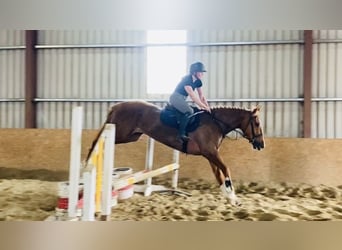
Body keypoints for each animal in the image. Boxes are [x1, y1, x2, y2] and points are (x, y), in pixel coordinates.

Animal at [85, 100, 264, 206]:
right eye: (256, 123)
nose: (261, 144)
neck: (216, 123)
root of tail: (116, 106)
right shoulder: (211, 152)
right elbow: (226, 169)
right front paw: (233, 196)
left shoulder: (210, 154)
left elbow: (219, 175)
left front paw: (230, 198)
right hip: (120, 133)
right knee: (97, 140)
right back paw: (87, 162)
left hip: (131, 136)